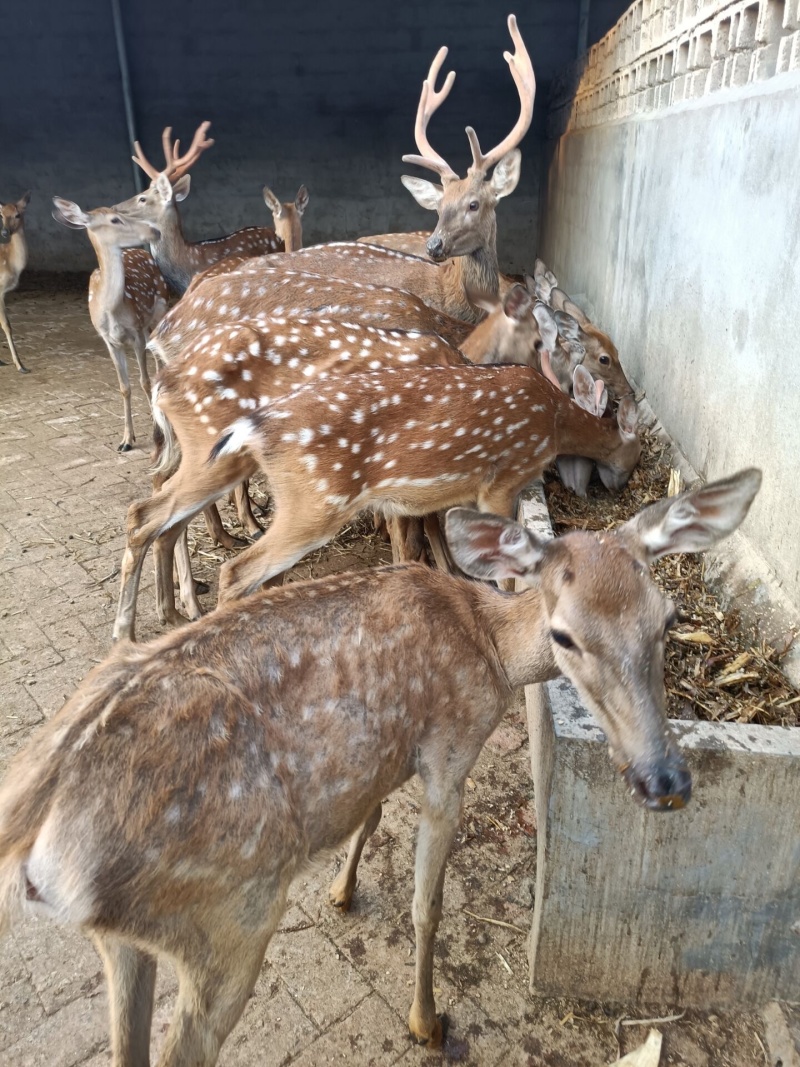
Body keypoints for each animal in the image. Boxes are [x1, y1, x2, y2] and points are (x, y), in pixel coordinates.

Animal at [0, 469, 763, 1067]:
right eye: (564, 634)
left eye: (669, 618)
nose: (665, 781)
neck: (488, 646)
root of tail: (33, 845)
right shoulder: (452, 746)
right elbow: (428, 903)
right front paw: (427, 1020)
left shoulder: (393, 748)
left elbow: (368, 814)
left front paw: (342, 890)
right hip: (229, 916)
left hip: (121, 939)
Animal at [52, 197, 170, 450]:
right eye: (115, 219)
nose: (155, 231)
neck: (111, 309)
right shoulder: (109, 341)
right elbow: (124, 387)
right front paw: (126, 440)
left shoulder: (136, 332)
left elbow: (144, 381)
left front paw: (155, 426)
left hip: (160, 308)